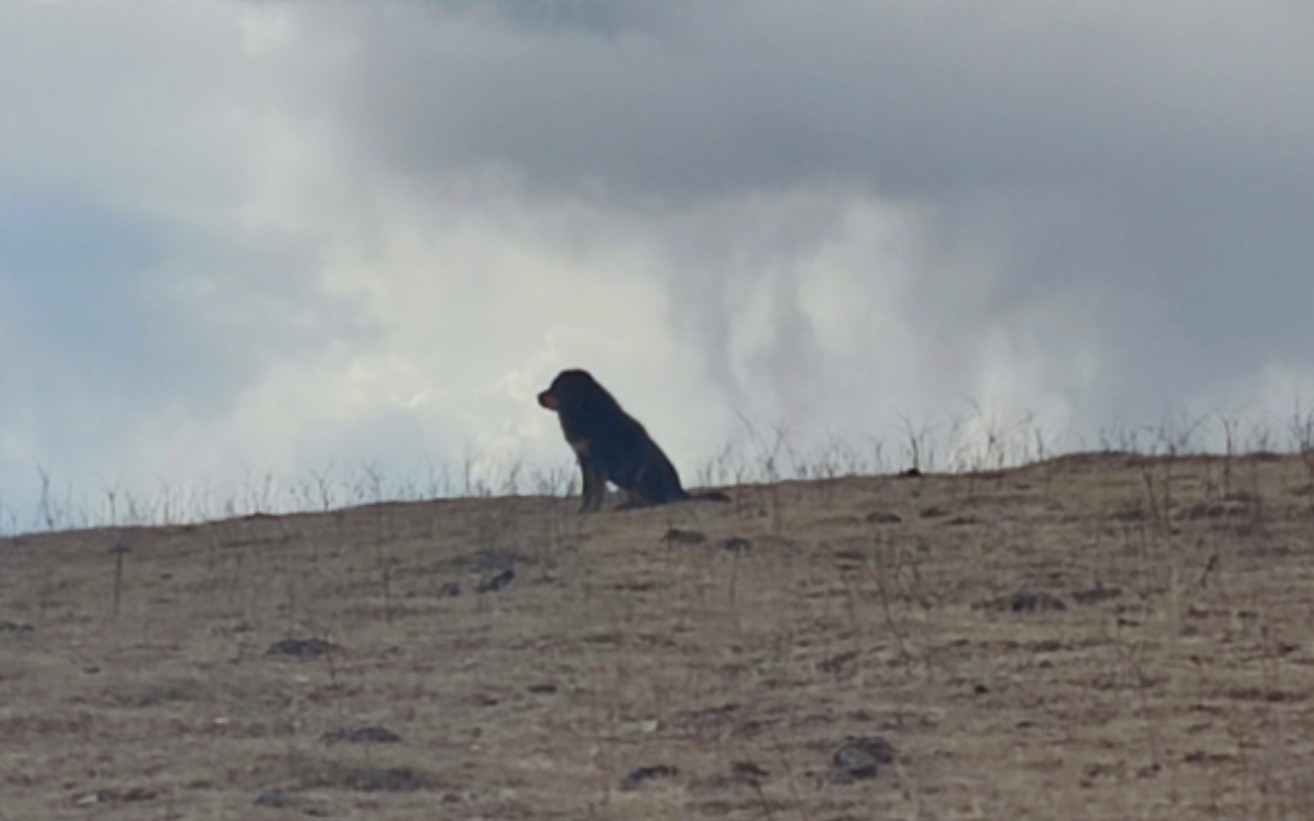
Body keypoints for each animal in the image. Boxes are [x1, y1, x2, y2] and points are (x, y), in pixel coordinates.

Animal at [538, 370, 735, 512]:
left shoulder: (598, 461)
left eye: (554, 387)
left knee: (656, 502)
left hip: (643, 471)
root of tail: (680, 491)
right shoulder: (585, 459)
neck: (584, 411)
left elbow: (596, 490)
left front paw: (592, 510)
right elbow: (588, 490)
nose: (537, 396)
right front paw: (584, 510)